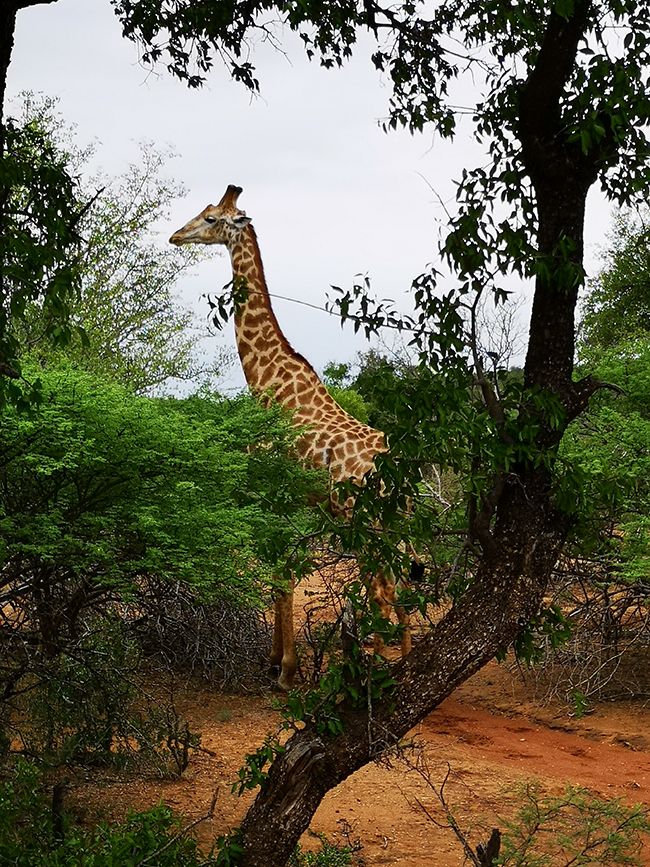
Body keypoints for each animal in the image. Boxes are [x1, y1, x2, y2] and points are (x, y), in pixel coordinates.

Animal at [170, 185, 408, 692]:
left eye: (211, 218)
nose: (176, 235)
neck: (266, 386)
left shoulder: (273, 491)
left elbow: (279, 577)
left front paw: (284, 671)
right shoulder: (291, 498)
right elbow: (282, 575)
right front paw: (275, 661)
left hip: (361, 519)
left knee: (381, 591)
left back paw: (374, 681)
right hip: (388, 524)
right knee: (400, 588)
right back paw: (407, 665)